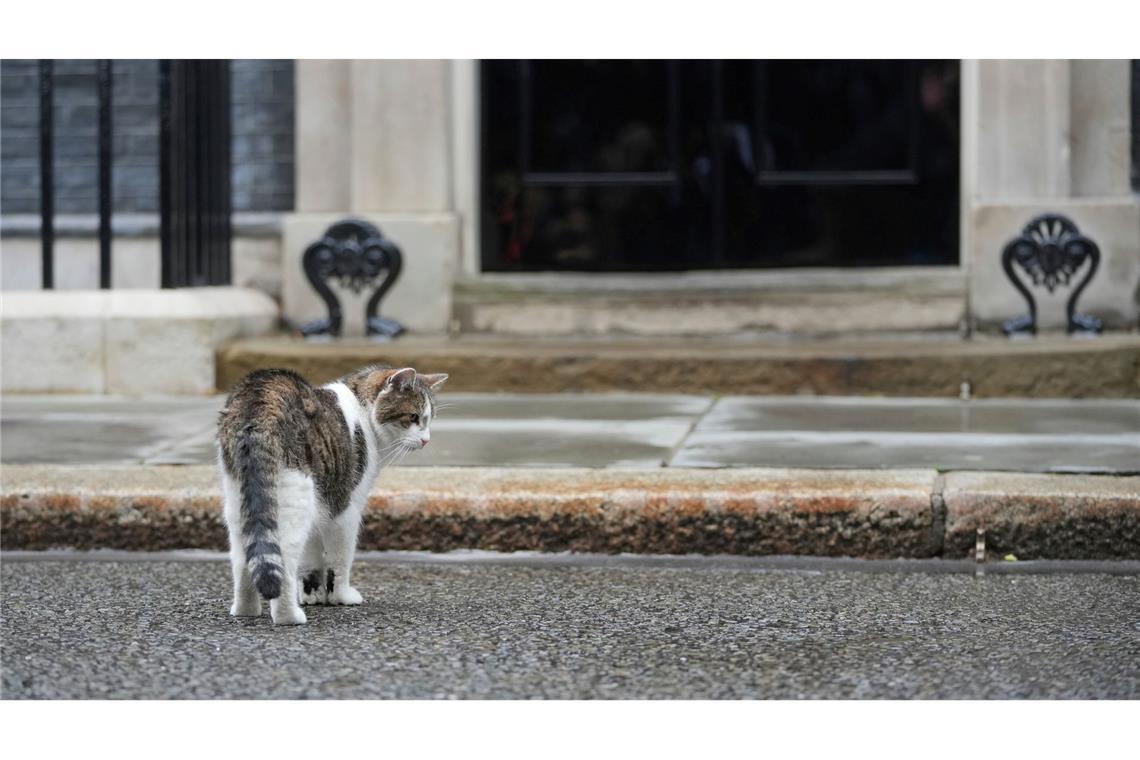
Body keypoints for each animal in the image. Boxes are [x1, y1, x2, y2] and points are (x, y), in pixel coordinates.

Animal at [215, 366, 446, 624]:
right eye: (413, 417)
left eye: (429, 419)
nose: (426, 440)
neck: (361, 408)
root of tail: (259, 398)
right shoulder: (345, 510)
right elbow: (340, 560)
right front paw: (340, 597)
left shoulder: (320, 504)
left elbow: (311, 560)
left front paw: (313, 594)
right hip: (296, 499)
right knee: (283, 559)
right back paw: (289, 616)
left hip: (242, 502)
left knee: (243, 557)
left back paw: (245, 609)